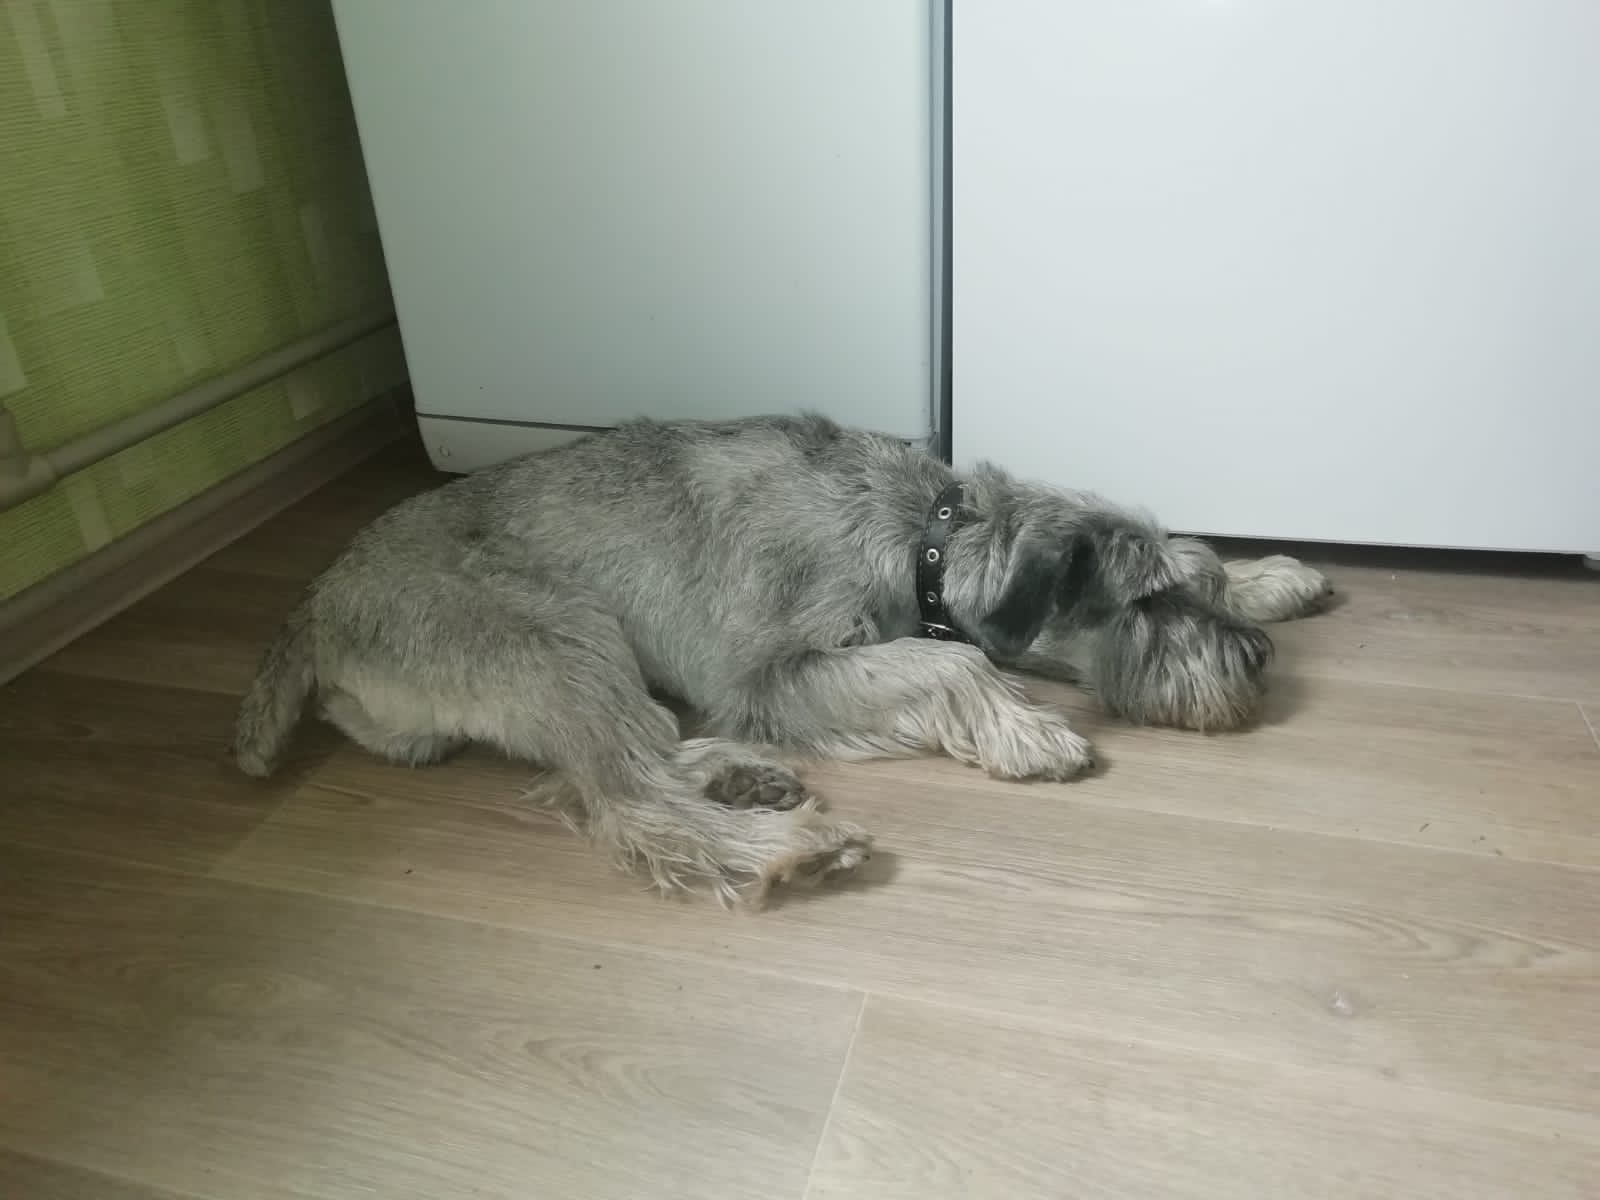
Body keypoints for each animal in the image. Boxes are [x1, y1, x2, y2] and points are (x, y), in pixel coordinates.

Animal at [235, 414, 1333, 902]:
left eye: (1184, 580)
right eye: (1145, 602)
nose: (1256, 662)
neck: (926, 537)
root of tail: (318, 604)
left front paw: (1271, 577)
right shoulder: (775, 672)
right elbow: (951, 665)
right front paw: (1029, 731)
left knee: (640, 757)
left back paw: (748, 785)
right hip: (560, 637)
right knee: (625, 800)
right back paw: (783, 848)